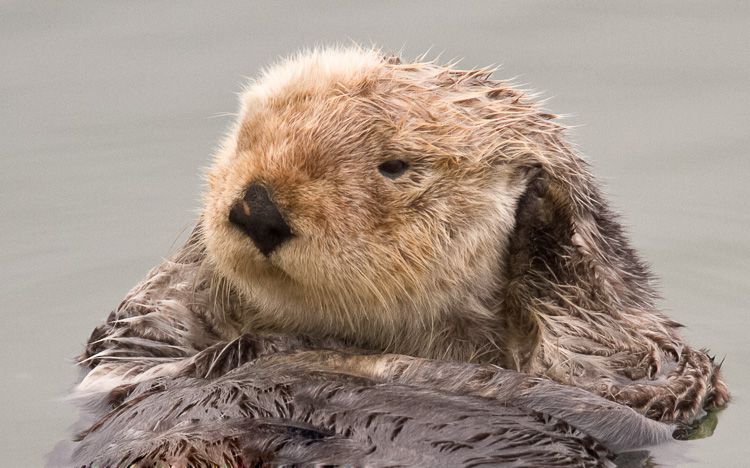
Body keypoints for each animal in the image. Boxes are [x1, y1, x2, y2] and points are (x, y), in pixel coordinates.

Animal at [69, 47, 727, 466]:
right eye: (245, 138)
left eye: (395, 165)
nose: (257, 206)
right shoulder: (133, 355)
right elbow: (137, 346)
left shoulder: (641, 357)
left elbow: (633, 371)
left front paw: (545, 207)